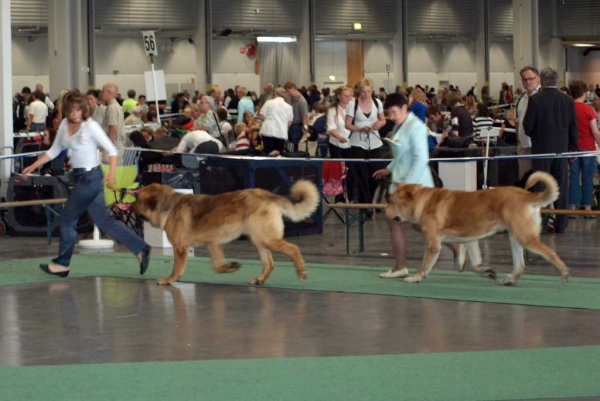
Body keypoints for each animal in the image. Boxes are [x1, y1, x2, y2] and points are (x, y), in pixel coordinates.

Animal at [131, 181, 318, 284]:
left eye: (137, 199)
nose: (129, 205)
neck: (168, 206)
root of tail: (268, 195)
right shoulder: (213, 245)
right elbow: (218, 266)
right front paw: (230, 267)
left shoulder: (181, 247)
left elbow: (177, 268)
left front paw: (169, 280)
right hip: (259, 241)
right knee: (269, 263)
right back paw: (260, 279)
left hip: (267, 239)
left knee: (293, 249)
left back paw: (301, 272)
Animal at [386, 171, 568, 284]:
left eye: (392, 202)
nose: (384, 210)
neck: (424, 202)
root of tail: (527, 195)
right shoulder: (469, 241)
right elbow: (475, 264)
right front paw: (487, 271)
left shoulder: (433, 244)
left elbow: (424, 265)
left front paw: (415, 277)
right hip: (514, 238)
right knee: (520, 265)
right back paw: (509, 280)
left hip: (524, 237)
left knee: (551, 253)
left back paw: (565, 274)